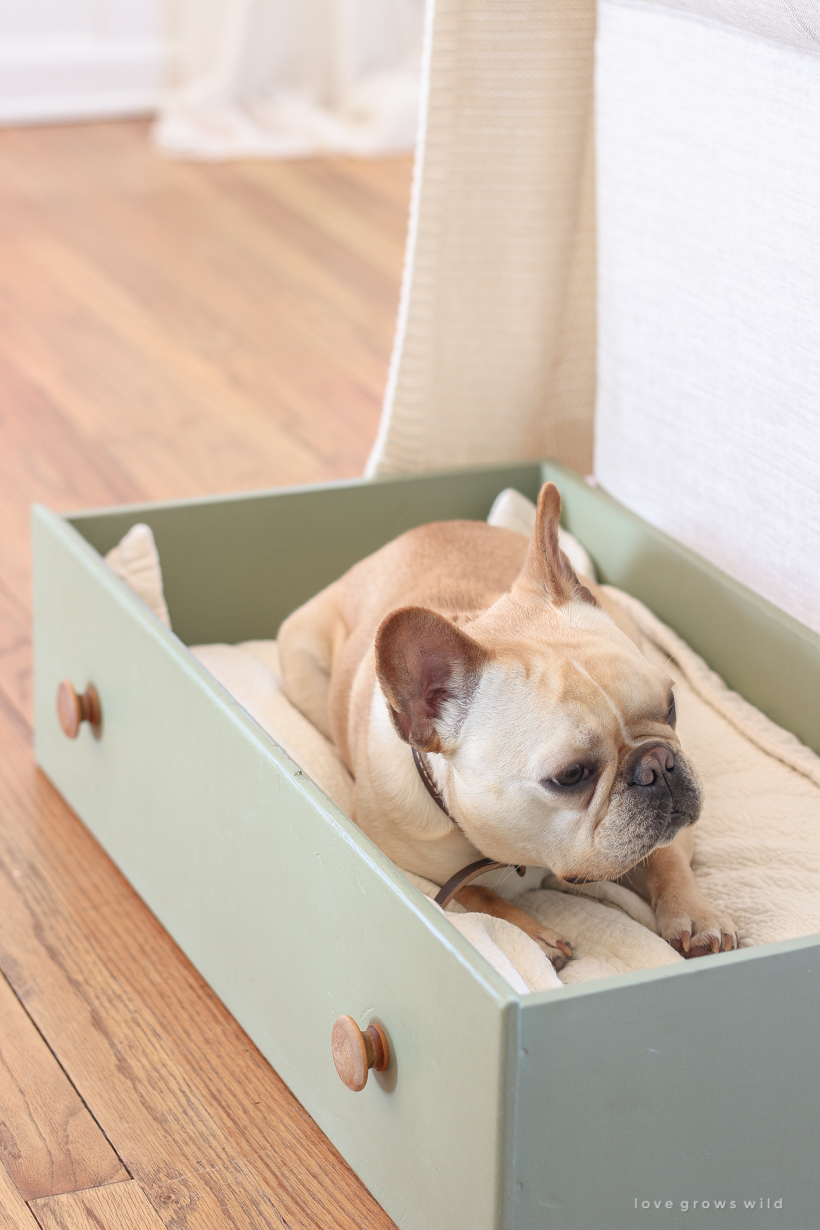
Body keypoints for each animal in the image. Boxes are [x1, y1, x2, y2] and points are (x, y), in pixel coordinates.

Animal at [280, 479, 737, 969]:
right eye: (570, 775)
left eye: (671, 707)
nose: (658, 764)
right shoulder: (406, 870)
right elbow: (478, 895)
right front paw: (533, 935)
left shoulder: (672, 837)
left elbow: (668, 857)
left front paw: (694, 914)